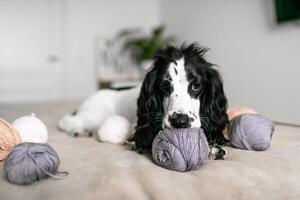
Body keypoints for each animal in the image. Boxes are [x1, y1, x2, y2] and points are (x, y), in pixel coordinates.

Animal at [58, 43, 227, 159]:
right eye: (165, 85)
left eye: (196, 85)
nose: (180, 121)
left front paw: (213, 148)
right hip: (93, 115)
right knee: (66, 121)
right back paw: (79, 130)